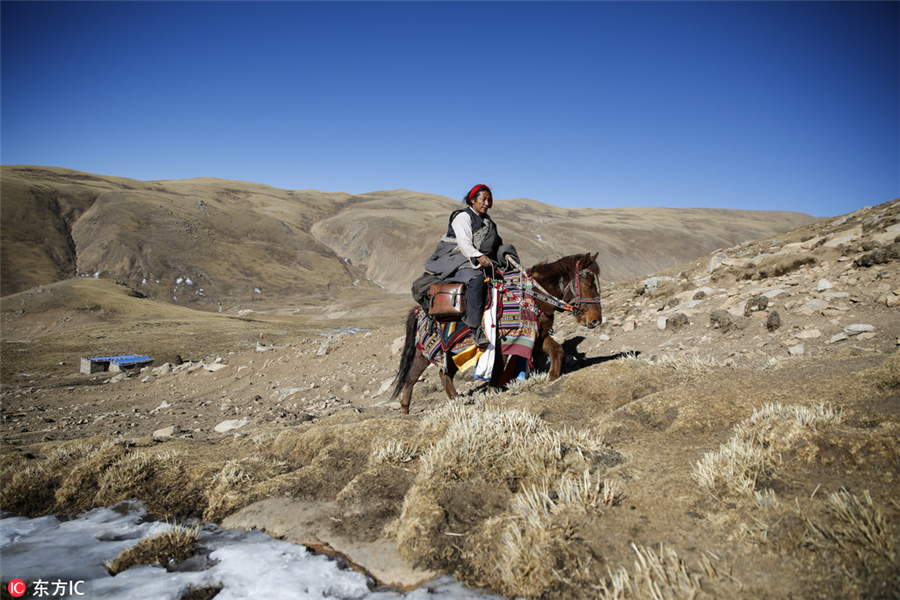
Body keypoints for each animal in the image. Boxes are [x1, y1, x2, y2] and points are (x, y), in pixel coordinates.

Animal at [390, 252, 600, 412]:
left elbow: (557, 350)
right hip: (426, 352)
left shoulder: (537, 335)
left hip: (450, 351)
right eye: (589, 284)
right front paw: (492, 394)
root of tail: (418, 311)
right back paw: (405, 410)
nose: (596, 320)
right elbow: (497, 371)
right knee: (412, 377)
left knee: (443, 375)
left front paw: (552, 377)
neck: (533, 296)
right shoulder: (504, 341)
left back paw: (456, 401)